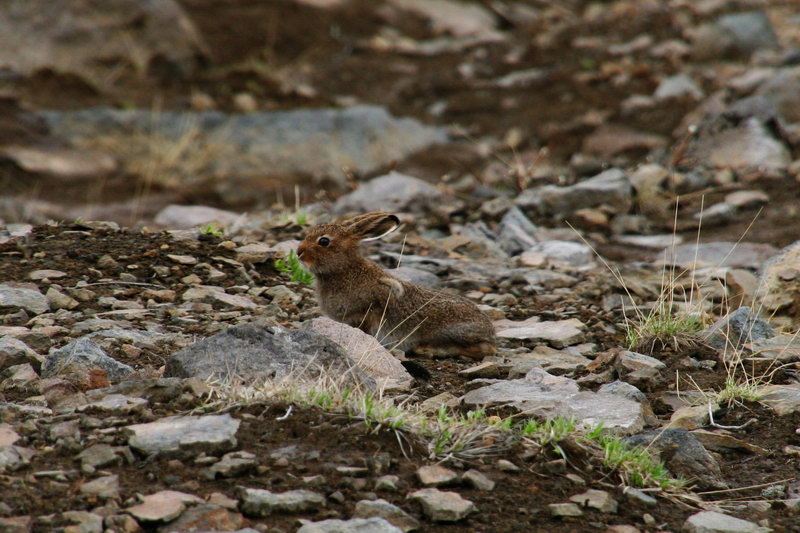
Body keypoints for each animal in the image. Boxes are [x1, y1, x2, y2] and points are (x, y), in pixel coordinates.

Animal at [297, 212, 496, 359]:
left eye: (324, 241)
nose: (298, 252)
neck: (344, 269)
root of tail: (490, 331)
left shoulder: (369, 309)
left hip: (450, 332)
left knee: (483, 349)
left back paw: (428, 350)